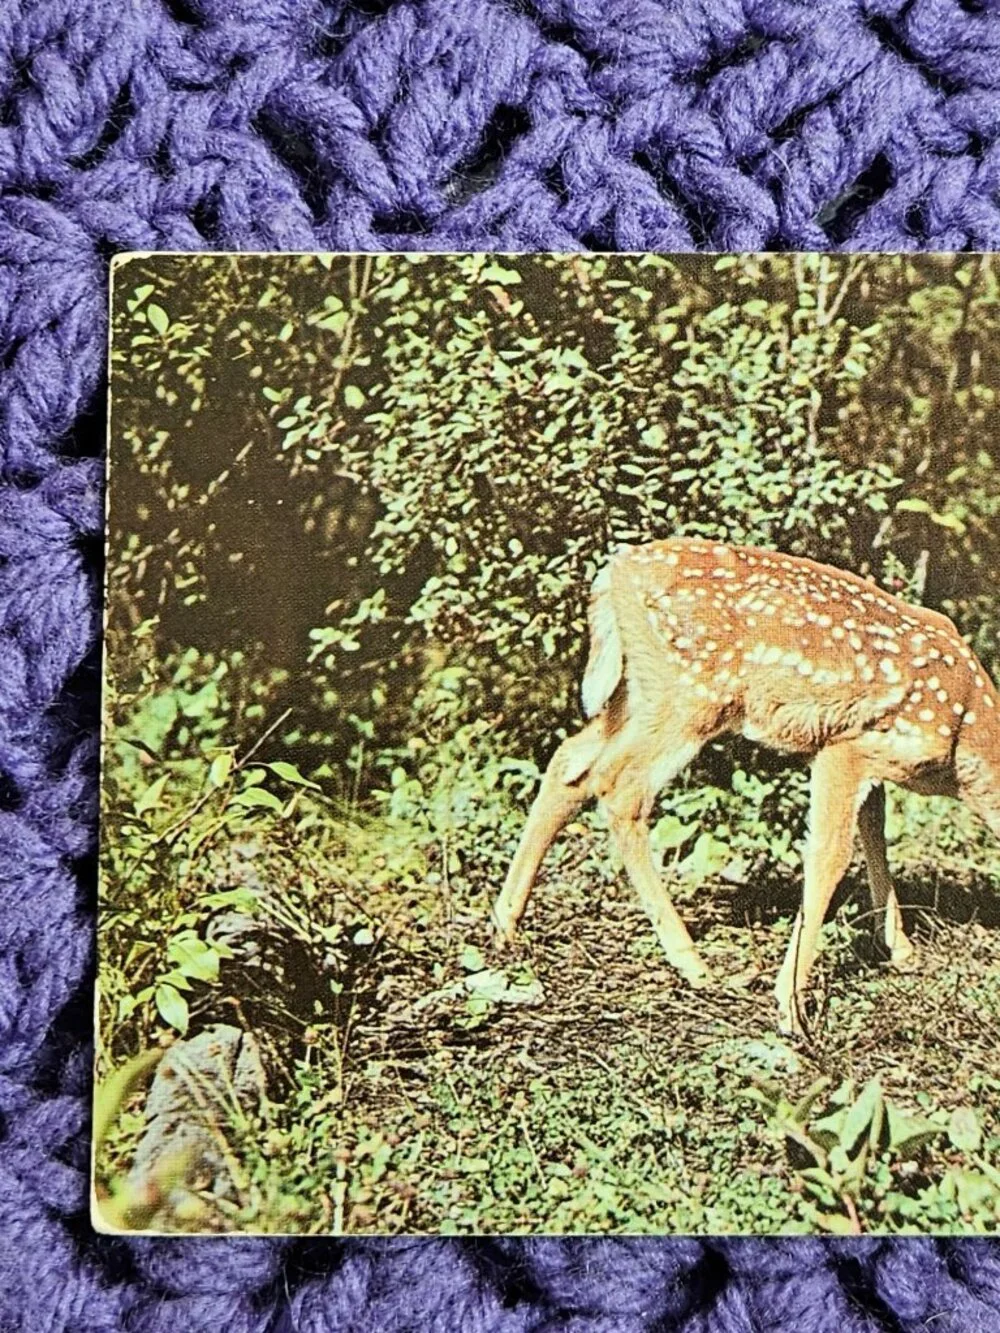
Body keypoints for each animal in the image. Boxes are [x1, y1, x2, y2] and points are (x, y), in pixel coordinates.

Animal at [491, 537, 1000, 1035]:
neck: (964, 737)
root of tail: (616, 570)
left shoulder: (867, 763)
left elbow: (874, 834)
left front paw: (901, 950)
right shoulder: (846, 747)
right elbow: (830, 855)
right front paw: (791, 1009)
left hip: (640, 691)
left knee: (570, 764)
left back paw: (505, 925)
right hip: (690, 695)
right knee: (621, 789)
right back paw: (694, 965)